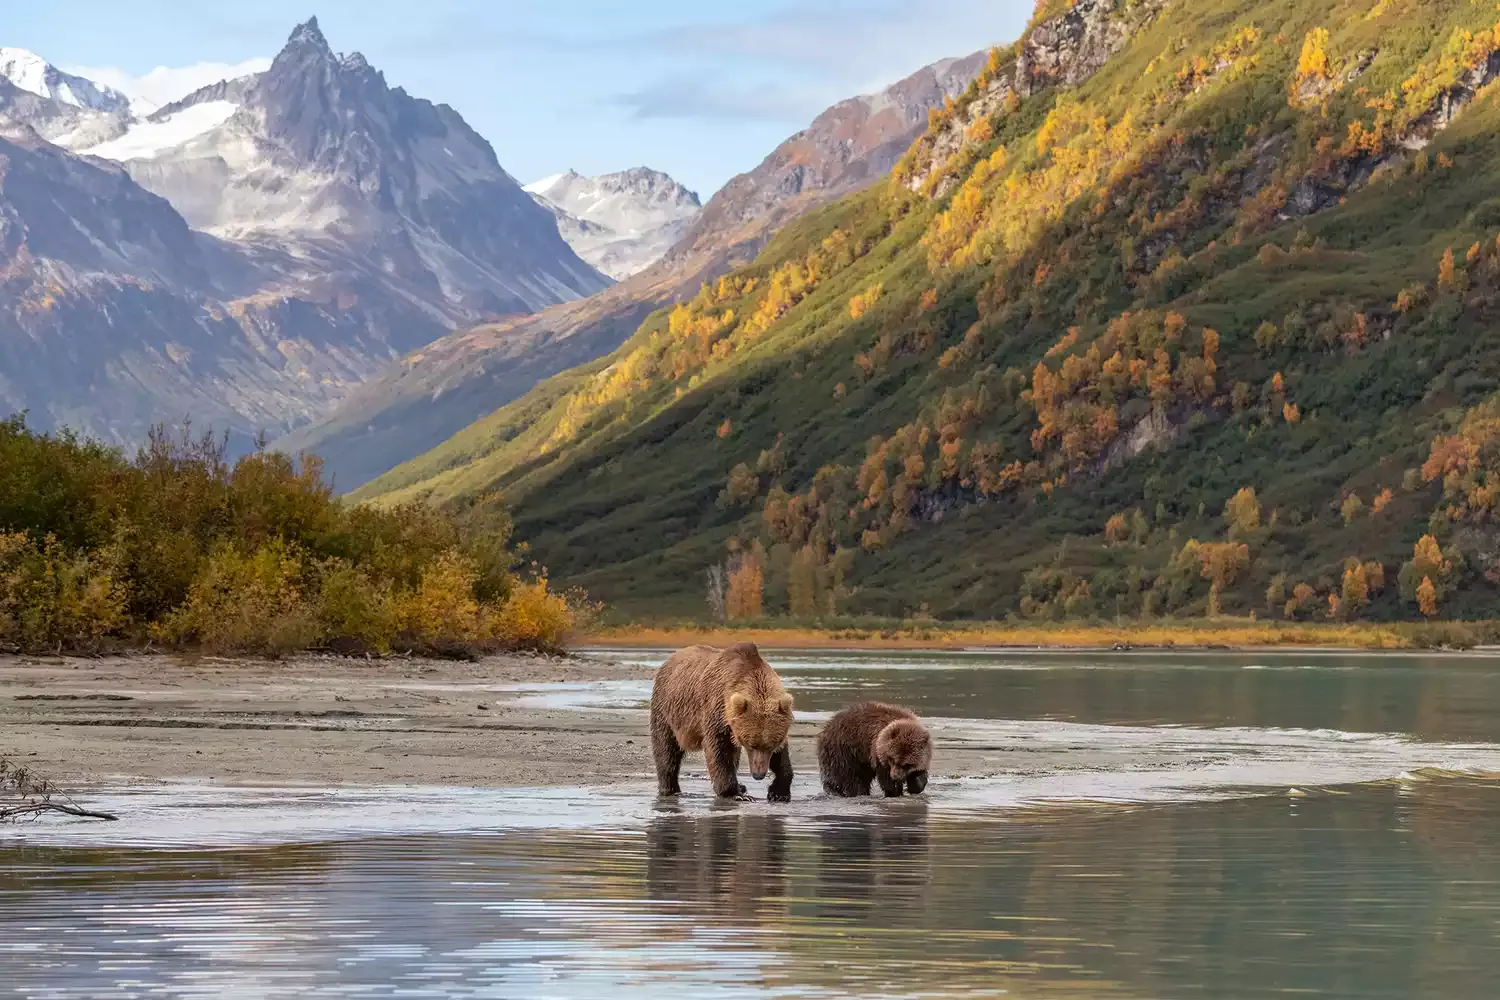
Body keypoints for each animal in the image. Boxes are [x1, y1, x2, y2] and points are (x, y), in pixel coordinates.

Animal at [654, 644, 804, 803]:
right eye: (751, 745)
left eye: (770, 745)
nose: (758, 775)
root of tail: (671, 658)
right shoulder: (716, 710)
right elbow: (719, 750)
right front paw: (735, 793)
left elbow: (781, 757)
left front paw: (779, 793)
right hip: (667, 708)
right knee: (666, 748)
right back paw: (670, 788)